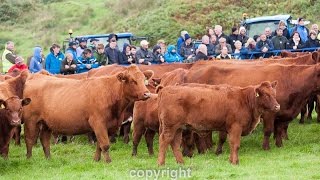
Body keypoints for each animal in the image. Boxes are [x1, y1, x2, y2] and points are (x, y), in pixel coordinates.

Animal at [22, 65, 152, 162]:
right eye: (133, 81)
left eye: (143, 80)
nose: (147, 94)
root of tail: (35, 76)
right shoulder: (98, 123)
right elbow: (105, 144)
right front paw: (108, 162)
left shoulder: (108, 125)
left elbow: (99, 144)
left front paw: (96, 160)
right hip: (31, 120)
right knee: (29, 139)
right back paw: (29, 159)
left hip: (46, 123)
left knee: (45, 140)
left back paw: (48, 159)